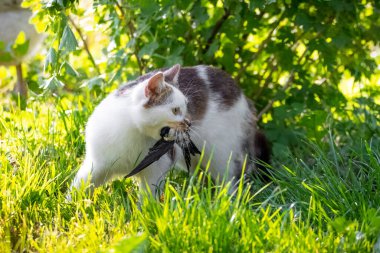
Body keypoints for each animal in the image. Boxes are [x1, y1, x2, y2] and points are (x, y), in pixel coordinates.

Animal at [68, 64, 270, 197]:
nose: (189, 122)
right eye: (175, 110)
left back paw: (227, 204)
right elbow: (79, 187)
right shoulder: (97, 164)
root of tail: (242, 95)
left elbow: (148, 199)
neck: (134, 135)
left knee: (230, 179)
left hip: (221, 153)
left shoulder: (156, 169)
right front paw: (71, 208)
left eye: (187, 107)